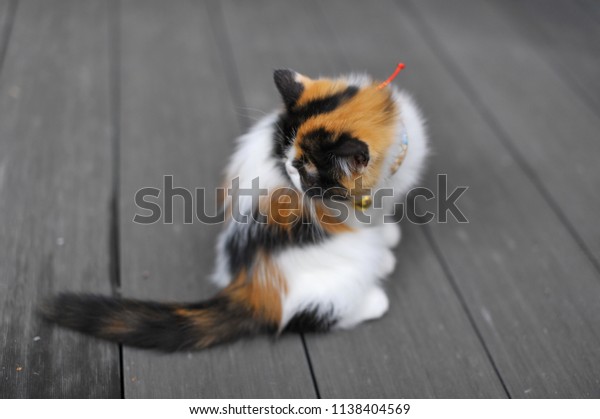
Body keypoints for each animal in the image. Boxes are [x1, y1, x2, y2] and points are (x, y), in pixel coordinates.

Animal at [43, 69, 426, 352]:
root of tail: (251, 286)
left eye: (306, 171)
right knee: (314, 314)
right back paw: (374, 297)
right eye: (286, 157)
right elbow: (366, 224)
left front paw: (388, 233)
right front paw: (386, 246)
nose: (289, 172)